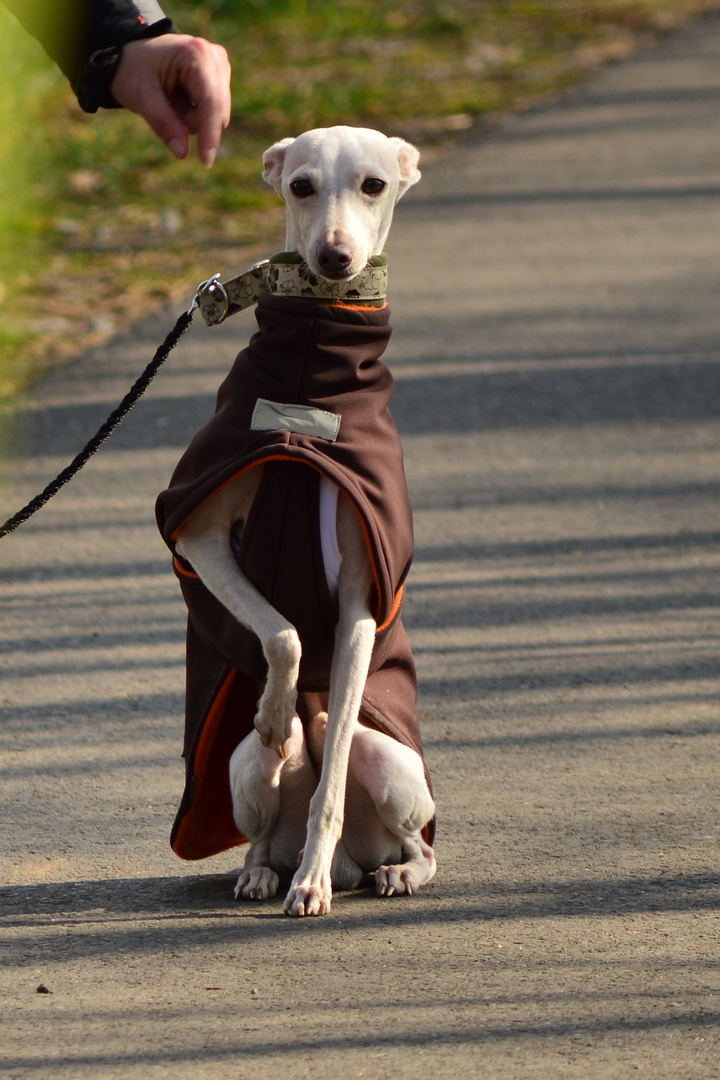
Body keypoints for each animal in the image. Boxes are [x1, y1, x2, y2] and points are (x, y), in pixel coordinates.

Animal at [160, 128, 436, 920]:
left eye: (374, 184)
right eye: (301, 186)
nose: (334, 259)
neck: (315, 369)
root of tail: (358, 861)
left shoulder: (361, 602)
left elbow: (333, 764)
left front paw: (310, 887)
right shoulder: (198, 535)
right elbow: (282, 632)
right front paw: (277, 712)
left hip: (394, 762)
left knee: (413, 837)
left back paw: (375, 873)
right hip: (242, 771)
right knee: (259, 827)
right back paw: (262, 867)